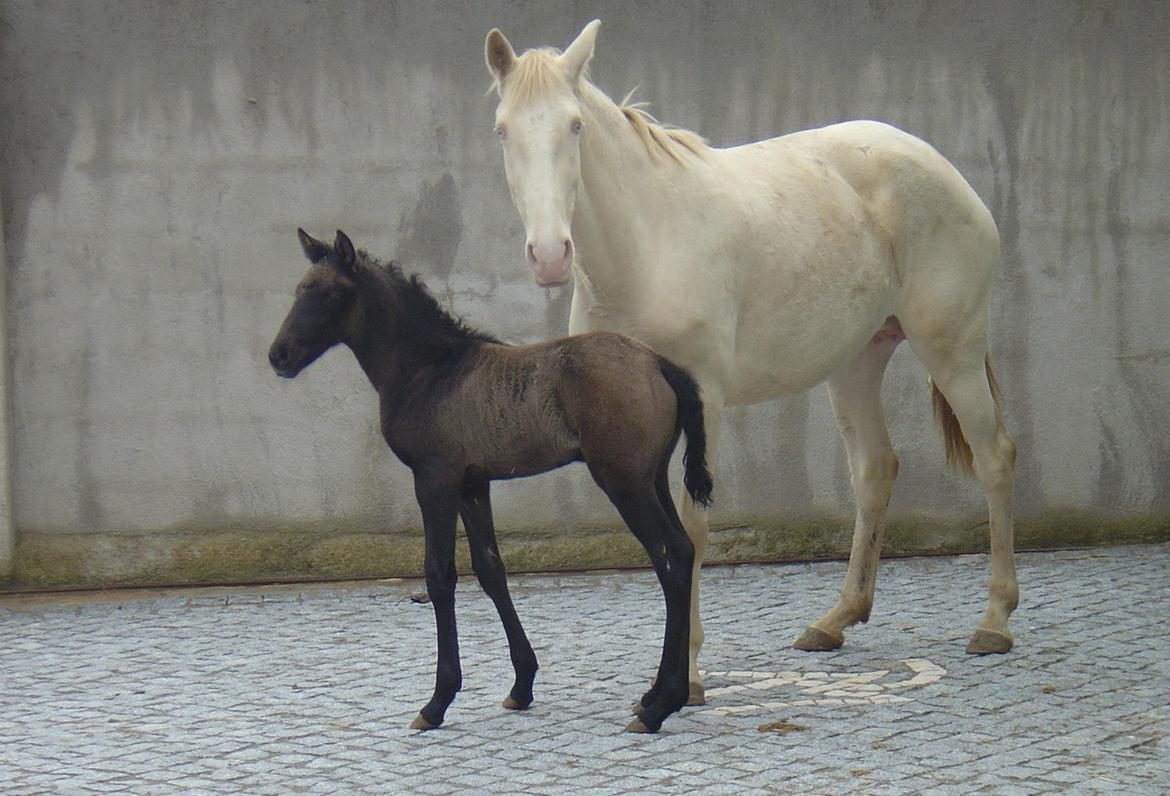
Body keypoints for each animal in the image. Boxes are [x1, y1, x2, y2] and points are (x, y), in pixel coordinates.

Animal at [269, 228, 706, 735]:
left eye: (331, 295)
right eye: (299, 290)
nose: (278, 355)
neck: (430, 369)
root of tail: (657, 362)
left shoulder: (434, 480)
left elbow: (439, 574)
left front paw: (436, 702)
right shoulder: (473, 484)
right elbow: (491, 569)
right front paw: (522, 685)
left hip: (623, 481)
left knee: (669, 554)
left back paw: (661, 705)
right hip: (651, 477)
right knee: (680, 554)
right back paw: (654, 695)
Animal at [484, 18, 1015, 702]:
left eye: (574, 125)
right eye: (504, 129)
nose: (550, 255)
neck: (647, 248)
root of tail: (943, 169)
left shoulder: (704, 400)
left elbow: (692, 528)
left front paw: (687, 675)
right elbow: (659, 535)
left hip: (952, 350)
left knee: (994, 457)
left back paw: (995, 621)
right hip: (856, 361)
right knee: (875, 469)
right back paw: (835, 620)